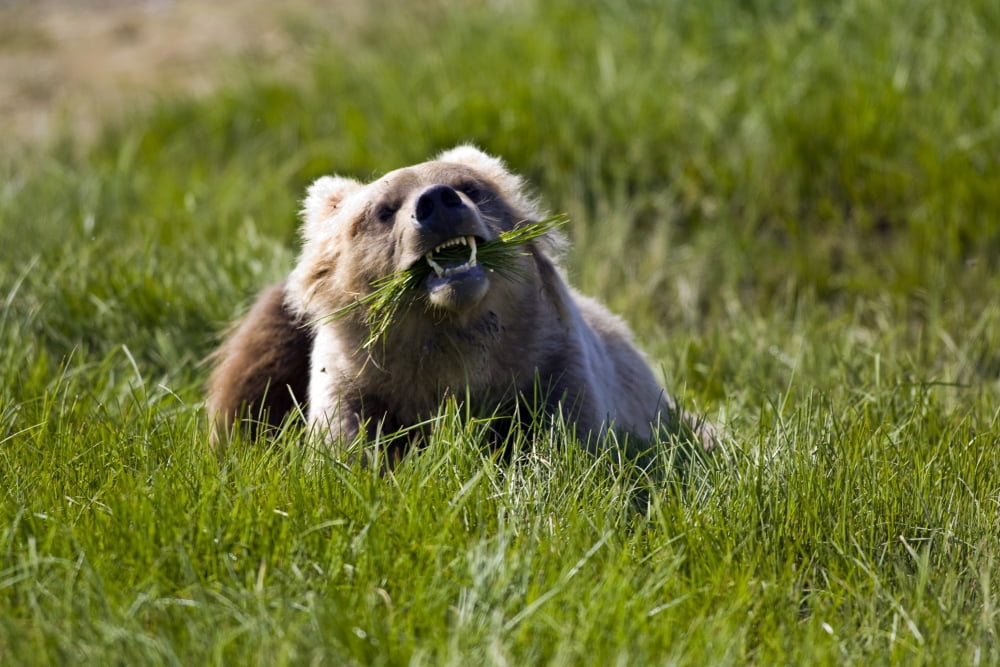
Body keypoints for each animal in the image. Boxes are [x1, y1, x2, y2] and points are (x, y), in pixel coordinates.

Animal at [206, 145, 716, 458]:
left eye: (470, 187)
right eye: (383, 209)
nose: (437, 201)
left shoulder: (549, 366)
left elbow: (569, 437)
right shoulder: (357, 383)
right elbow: (349, 445)